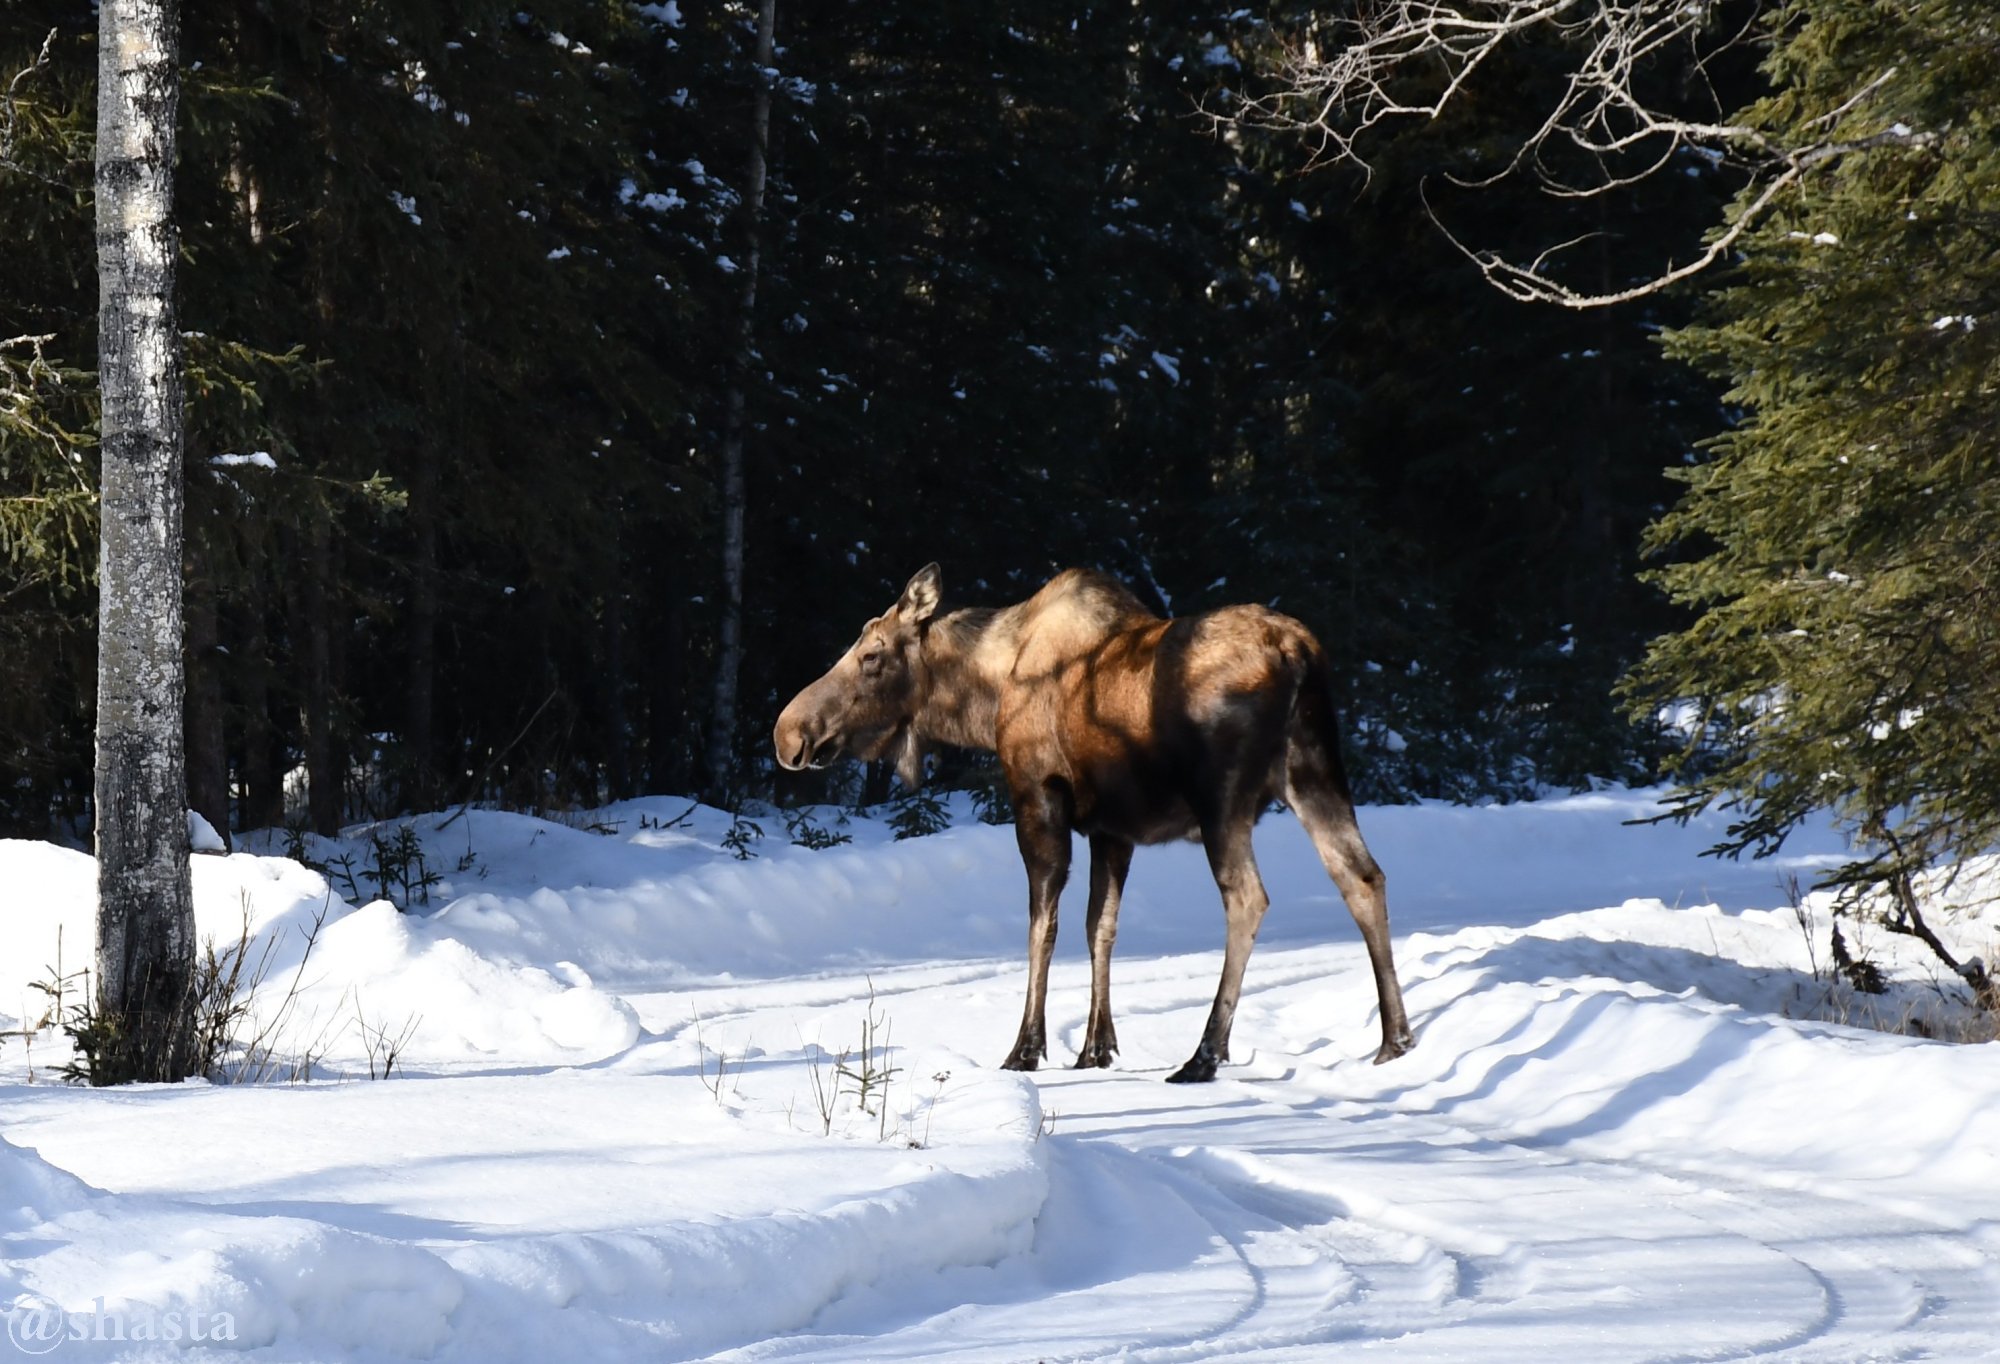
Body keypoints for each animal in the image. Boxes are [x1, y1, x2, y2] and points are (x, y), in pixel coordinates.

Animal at [772, 564, 1416, 1080]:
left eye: (872, 655)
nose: (788, 732)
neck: (986, 695)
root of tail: (1298, 652)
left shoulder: (1037, 797)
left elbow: (1044, 926)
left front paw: (1025, 1049)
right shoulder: (1112, 830)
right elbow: (1098, 927)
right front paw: (1095, 1047)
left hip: (1223, 799)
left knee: (1249, 898)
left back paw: (1205, 1054)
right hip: (1314, 772)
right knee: (1362, 876)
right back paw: (1394, 1040)